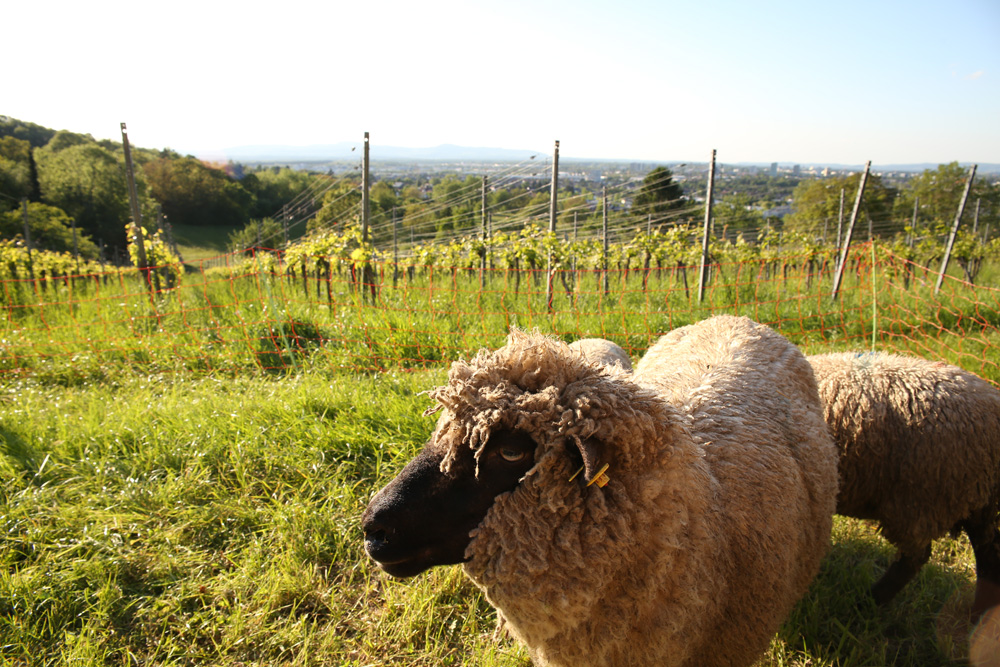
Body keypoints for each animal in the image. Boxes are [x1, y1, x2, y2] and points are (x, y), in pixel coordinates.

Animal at [808, 352, 1000, 620]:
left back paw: (866, 604)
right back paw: (978, 615)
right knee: (988, 553)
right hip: (976, 497)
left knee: (914, 558)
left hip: (923, 497)